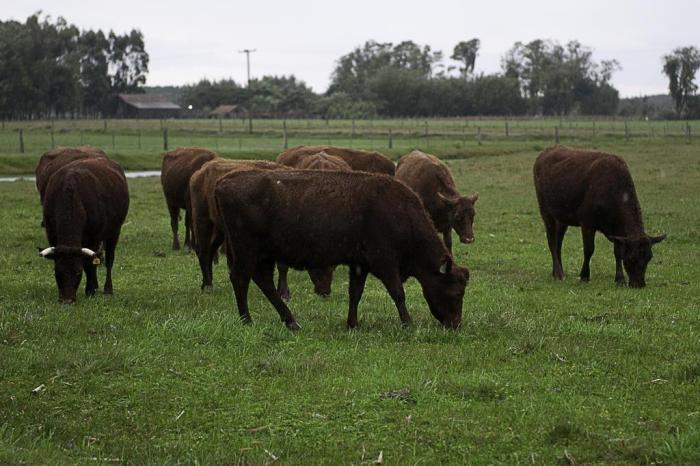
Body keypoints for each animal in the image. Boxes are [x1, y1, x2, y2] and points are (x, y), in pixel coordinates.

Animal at [38, 156, 130, 302]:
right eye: (57, 272)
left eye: (78, 272)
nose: (66, 300)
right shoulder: (52, 234)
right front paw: (92, 287)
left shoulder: (94, 238)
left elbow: (89, 264)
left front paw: (90, 290)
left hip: (114, 232)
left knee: (108, 260)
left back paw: (107, 288)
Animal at [216, 169, 468, 330]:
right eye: (456, 292)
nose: (455, 324)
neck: (401, 214)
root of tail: (223, 182)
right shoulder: (384, 263)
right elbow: (398, 292)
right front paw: (408, 323)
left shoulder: (359, 265)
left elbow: (355, 293)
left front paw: (352, 324)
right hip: (247, 251)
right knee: (240, 278)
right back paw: (247, 320)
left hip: (264, 255)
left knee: (264, 282)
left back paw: (292, 322)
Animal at [532, 146, 664, 286]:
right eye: (632, 257)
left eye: (649, 257)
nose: (639, 284)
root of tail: (545, 152)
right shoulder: (587, 223)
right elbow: (589, 249)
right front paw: (584, 275)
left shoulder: (617, 230)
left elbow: (617, 252)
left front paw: (620, 279)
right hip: (546, 212)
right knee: (552, 241)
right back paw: (558, 273)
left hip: (562, 219)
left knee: (558, 243)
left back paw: (557, 272)